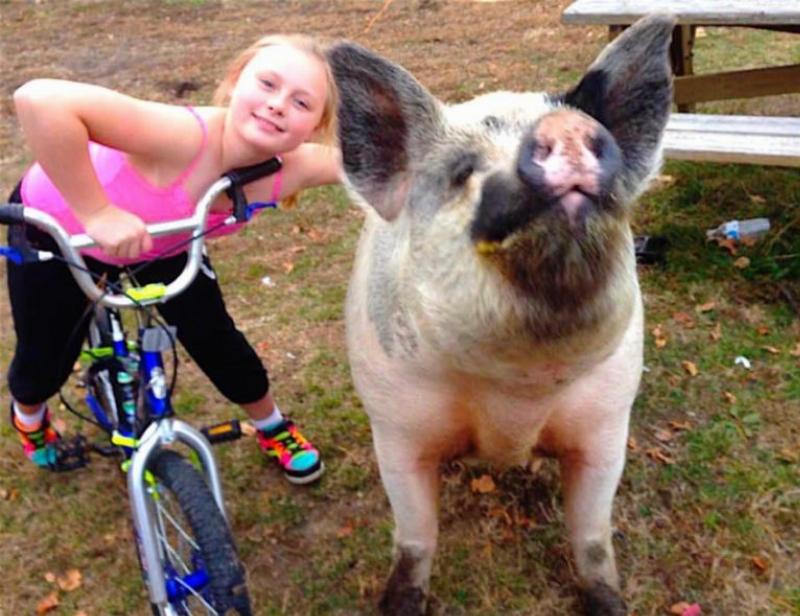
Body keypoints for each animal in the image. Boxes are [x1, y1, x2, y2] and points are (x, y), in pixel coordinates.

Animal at [328, 14, 675, 615]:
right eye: (462, 170)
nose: (566, 126)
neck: (515, 391)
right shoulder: (394, 424)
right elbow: (415, 536)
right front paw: (396, 604)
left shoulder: (608, 419)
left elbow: (592, 535)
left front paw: (610, 604)